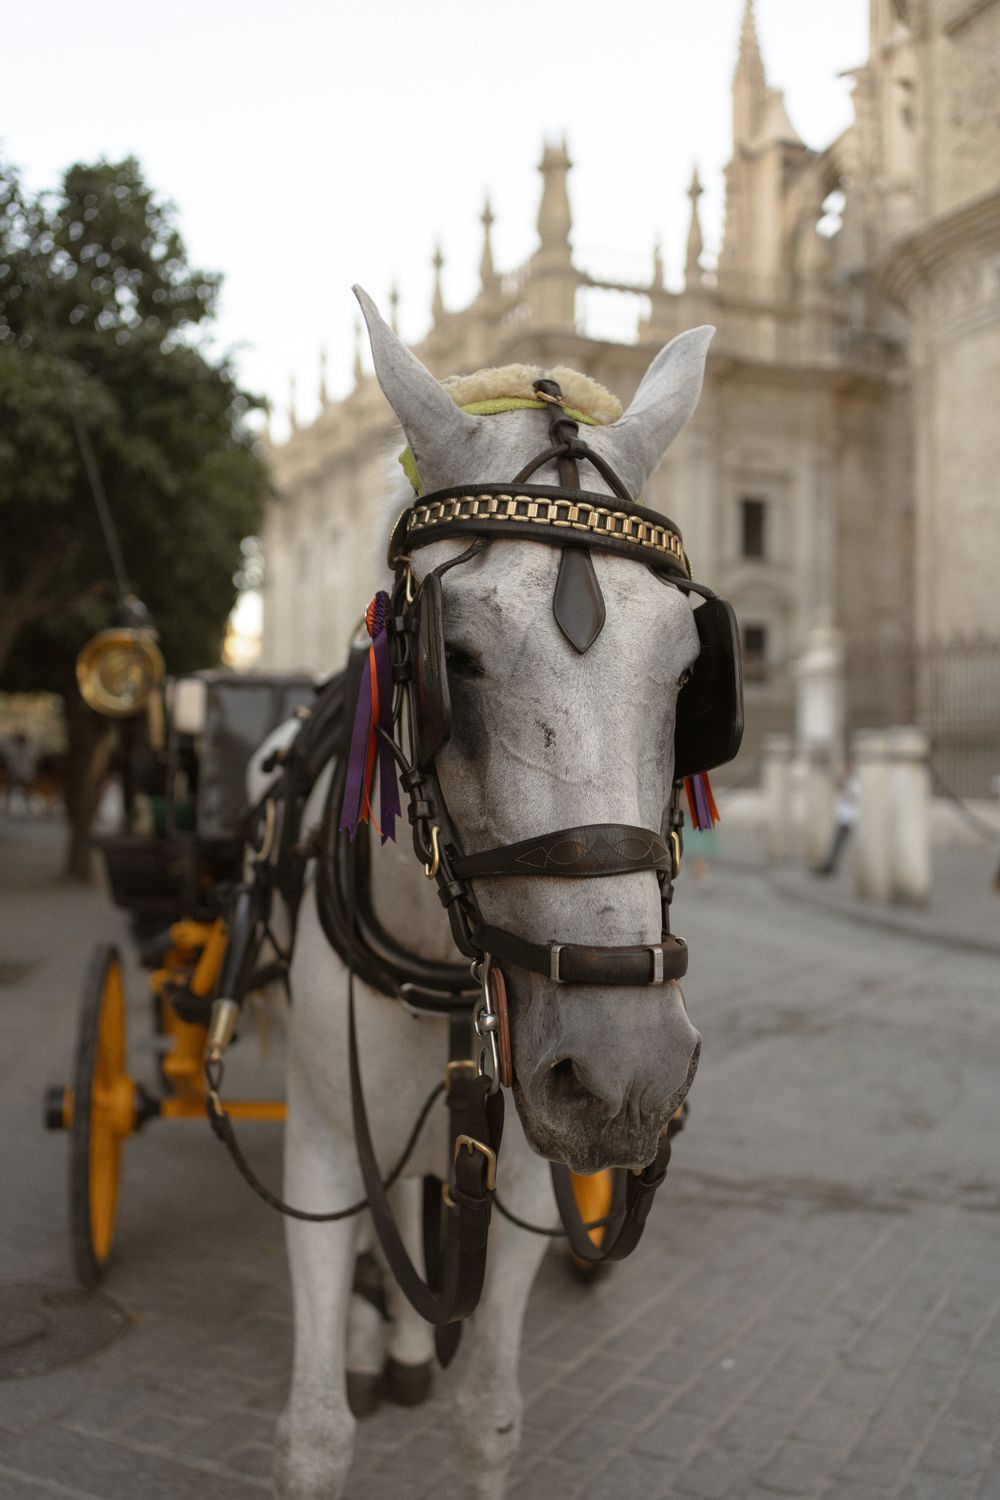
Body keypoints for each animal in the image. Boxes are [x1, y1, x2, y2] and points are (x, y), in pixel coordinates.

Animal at [272, 287, 715, 1499]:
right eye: (453, 659)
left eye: (691, 671)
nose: (625, 1071)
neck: (444, 964)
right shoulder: (319, 1149)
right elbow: (315, 1434)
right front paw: (358, 1352)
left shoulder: (520, 1166)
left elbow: (490, 1417)